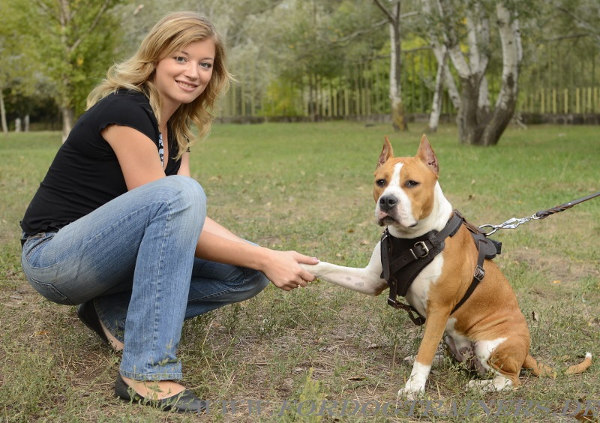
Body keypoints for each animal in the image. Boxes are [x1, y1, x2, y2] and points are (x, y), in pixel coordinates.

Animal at [302, 137, 592, 400]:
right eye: (380, 182)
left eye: (411, 183)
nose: (387, 201)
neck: (416, 238)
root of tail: (526, 353)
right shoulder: (370, 280)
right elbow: (327, 267)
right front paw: (301, 265)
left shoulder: (439, 308)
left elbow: (425, 352)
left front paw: (414, 389)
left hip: (488, 345)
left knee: (512, 379)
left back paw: (481, 386)